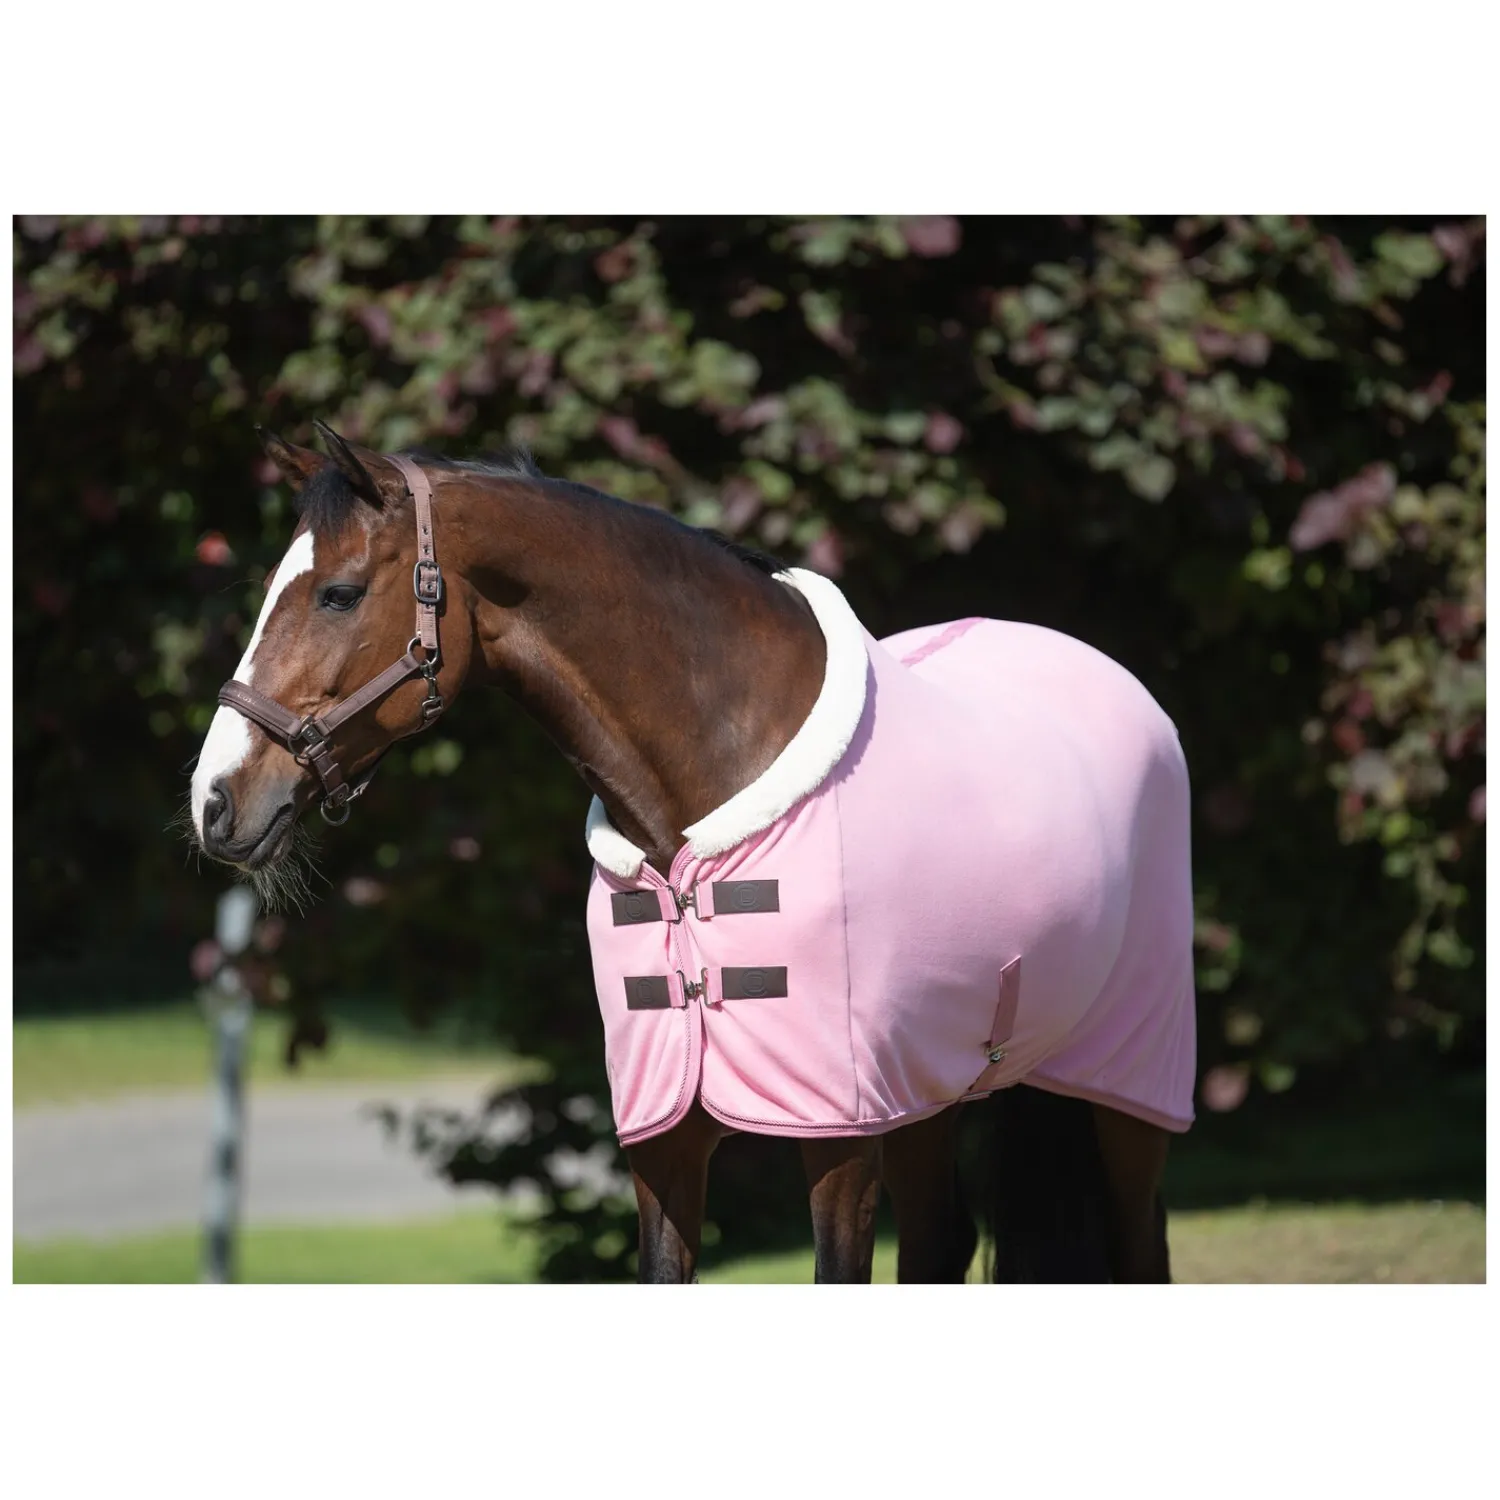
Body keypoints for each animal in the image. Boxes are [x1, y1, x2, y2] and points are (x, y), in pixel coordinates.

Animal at [188, 424, 1196, 1283]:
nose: (215, 801)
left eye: (339, 593)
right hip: (931, 1091)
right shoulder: (665, 1141)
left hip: (1125, 1094)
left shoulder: (839, 1137)